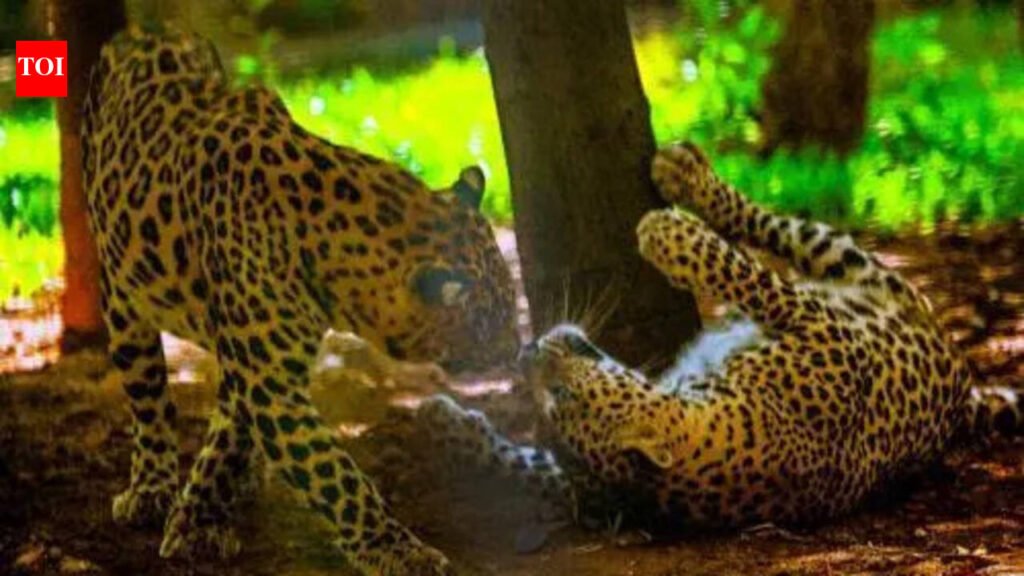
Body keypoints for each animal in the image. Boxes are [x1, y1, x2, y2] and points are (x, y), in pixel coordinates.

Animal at [81, 26, 519, 575]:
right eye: (489, 322)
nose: (518, 350)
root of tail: (148, 29)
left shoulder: (256, 366)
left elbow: (229, 440)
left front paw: (201, 517)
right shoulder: (269, 382)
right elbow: (338, 479)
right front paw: (400, 552)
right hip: (122, 300)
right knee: (149, 402)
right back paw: (150, 488)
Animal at [418, 142, 1024, 532]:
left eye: (560, 396)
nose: (525, 353)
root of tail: (963, 387)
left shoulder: (816, 326)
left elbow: (746, 276)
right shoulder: (821, 325)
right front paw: (444, 426)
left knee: (767, 230)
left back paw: (681, 175)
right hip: (863, 271)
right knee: (772, 233)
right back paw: (682, 179)